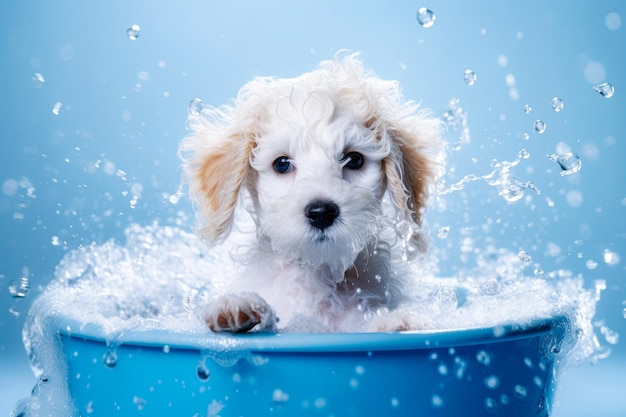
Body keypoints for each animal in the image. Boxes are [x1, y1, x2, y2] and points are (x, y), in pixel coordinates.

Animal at [179, 52, 444, 332]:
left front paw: (397, 322)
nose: (321, 212)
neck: (316, 272)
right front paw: (236, 306)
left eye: (354, 160)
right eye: (282, 164)